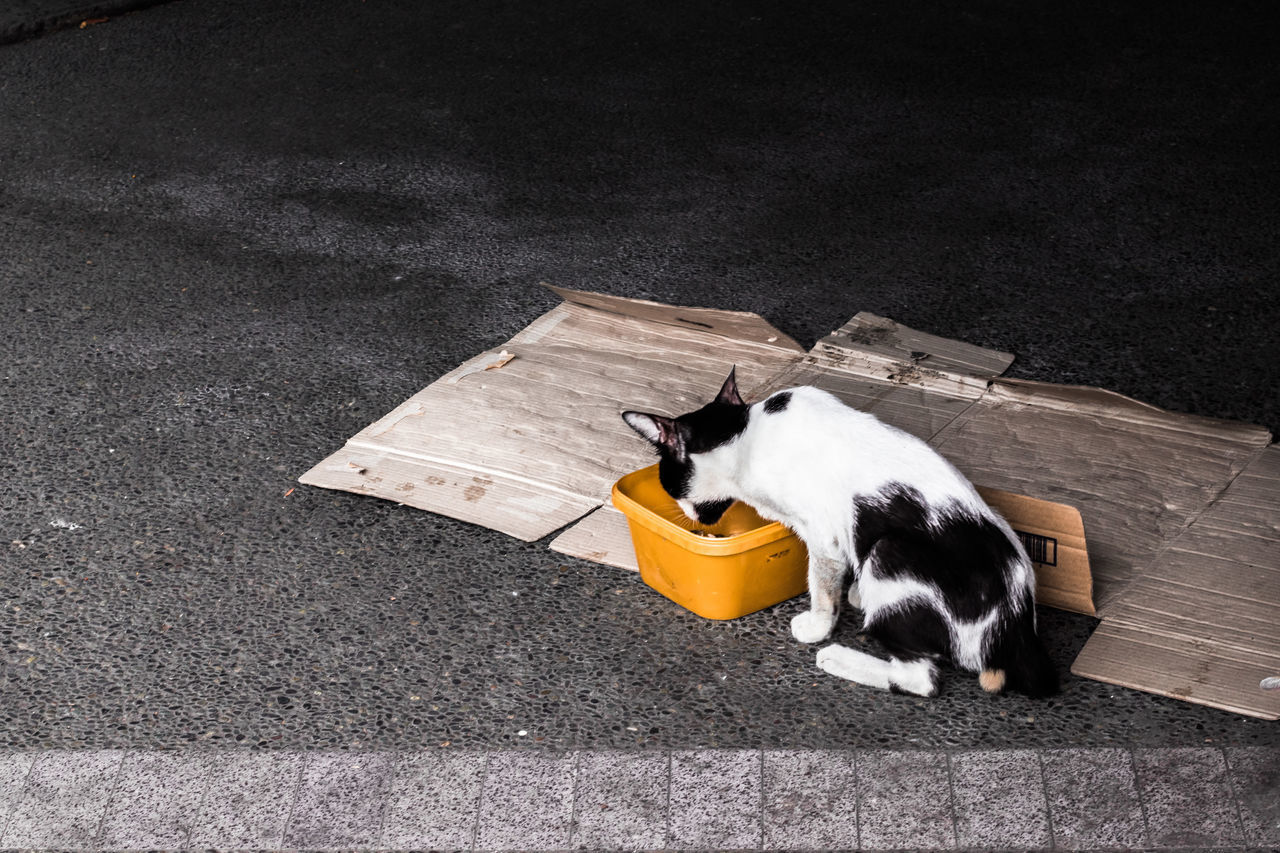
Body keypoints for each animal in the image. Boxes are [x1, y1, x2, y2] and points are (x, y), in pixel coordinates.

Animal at [622, 368, 1059, 696]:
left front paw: (817, 626)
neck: (745, 440)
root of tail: (1017, 630)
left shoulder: (823, 534)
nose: (689, 516)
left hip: (889, 552)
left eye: (668, 481)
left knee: (921, 679)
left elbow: (821, 585)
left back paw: (837, 657)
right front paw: (857, 592)